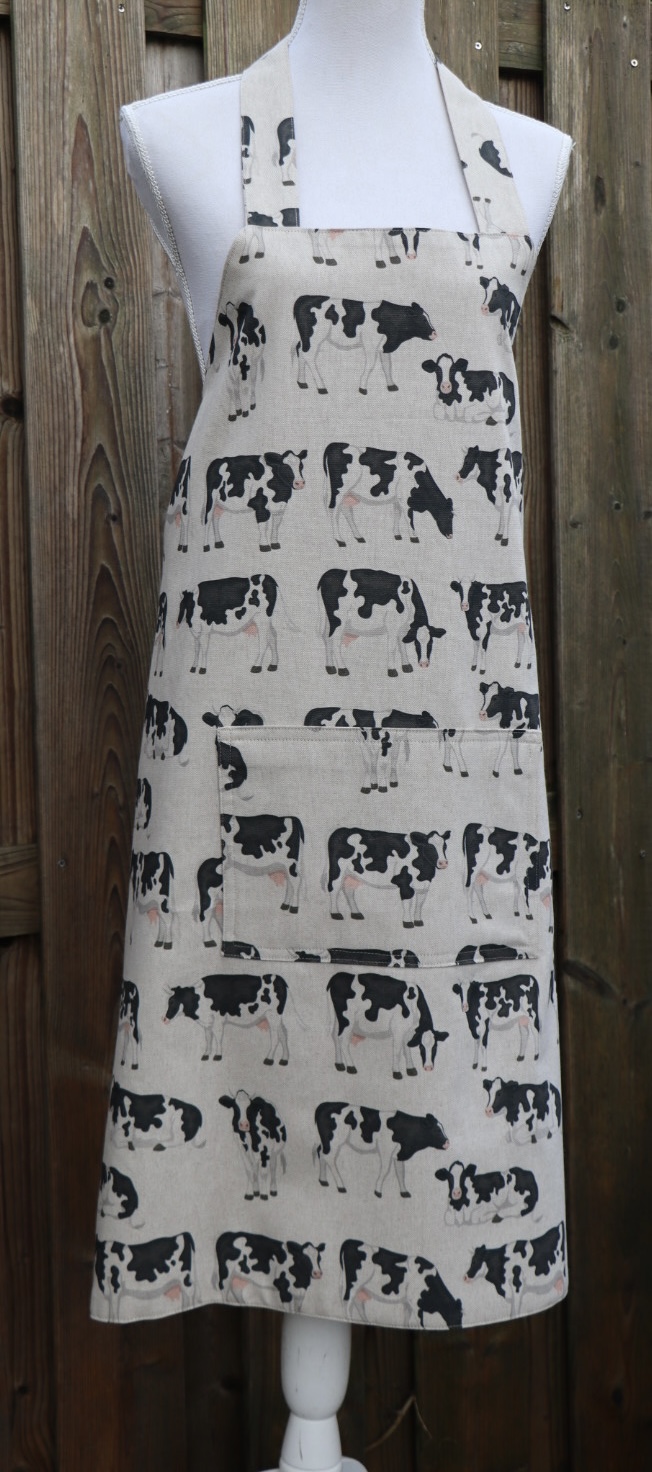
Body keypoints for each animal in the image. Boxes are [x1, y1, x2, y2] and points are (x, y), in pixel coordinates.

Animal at [162, 972, 290, 1065]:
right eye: (169, 1001)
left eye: (173, 1002)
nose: (164, 1019)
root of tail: (279, 978)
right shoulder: (208, 1021)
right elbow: (208, 1038)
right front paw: (206, 1054)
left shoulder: (218, 1018)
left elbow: (218, 1036)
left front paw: (217, 1055)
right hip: (277, 1018)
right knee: (283, 1035)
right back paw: (284, 1059)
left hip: (272, 1015)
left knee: (275, 1038)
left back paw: (269, 1059)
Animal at [293, 296, 437, 394]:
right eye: (423, 319)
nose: (434, 334)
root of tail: (304, 298)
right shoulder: (370, 343)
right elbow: (371, 364)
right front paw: (362, 387)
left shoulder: (384, 346)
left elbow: (387, 365)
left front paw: (391, 385)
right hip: (315, 337)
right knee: (309, 356)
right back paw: (321, 387)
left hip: (304, 337)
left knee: (300, 351)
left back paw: (302, 382)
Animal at [304, 706, 468, 787]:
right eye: (431, 726)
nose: (442, 732)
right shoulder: (385, 742)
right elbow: (382, 763)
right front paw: (381, 785)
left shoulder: (395, 742)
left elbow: (392, 760)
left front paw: (391, 782)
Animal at [314, 1102, 449, 1197]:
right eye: (437, 1130)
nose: (447, 1143)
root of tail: (324, 1105)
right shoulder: (386, 1150)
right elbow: (385, 1170)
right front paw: (378, 1191)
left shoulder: (399, 1153)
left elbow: (401, 1173)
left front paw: (404, 1192)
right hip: (334, 1140)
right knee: (329, 1158)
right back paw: (341, 1186)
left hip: (325, 1141)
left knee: (321, 1153)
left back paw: (323, 1180)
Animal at [322, 443, 453, 546]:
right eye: (447, 516)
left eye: (452, 516)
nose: (450, 535)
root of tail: (334, 445)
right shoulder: (405, 499)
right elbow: (409, 518)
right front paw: (414, 537)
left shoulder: (397, 498)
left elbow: (397, 514)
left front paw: (397, 535)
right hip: (339, 490)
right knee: (334, 511)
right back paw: (340, 540)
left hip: (348, 493)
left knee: (347, 512)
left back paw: (358, 537)